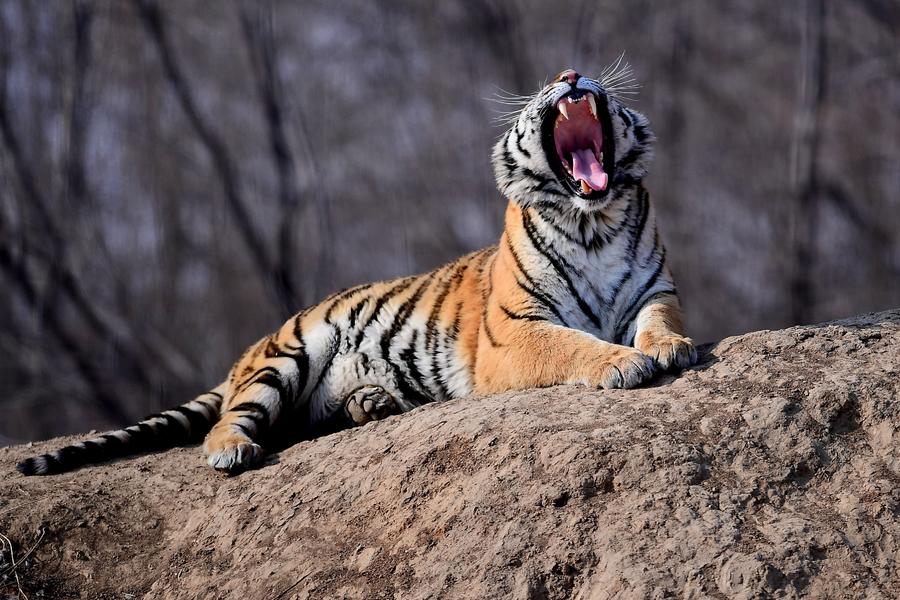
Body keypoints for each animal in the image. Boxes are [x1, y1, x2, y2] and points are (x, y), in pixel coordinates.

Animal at [17, 67, 700, 478]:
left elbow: (658, 321)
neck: (594, 223)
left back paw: (371, 402)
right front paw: (622, 363)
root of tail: (246, 353)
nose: (570, 75)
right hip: (286, 357)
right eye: (542, 90)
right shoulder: (513, 333)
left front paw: (670, 348)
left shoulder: (655, 289)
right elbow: (570, 344)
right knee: (231, 419)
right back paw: (233, 451)